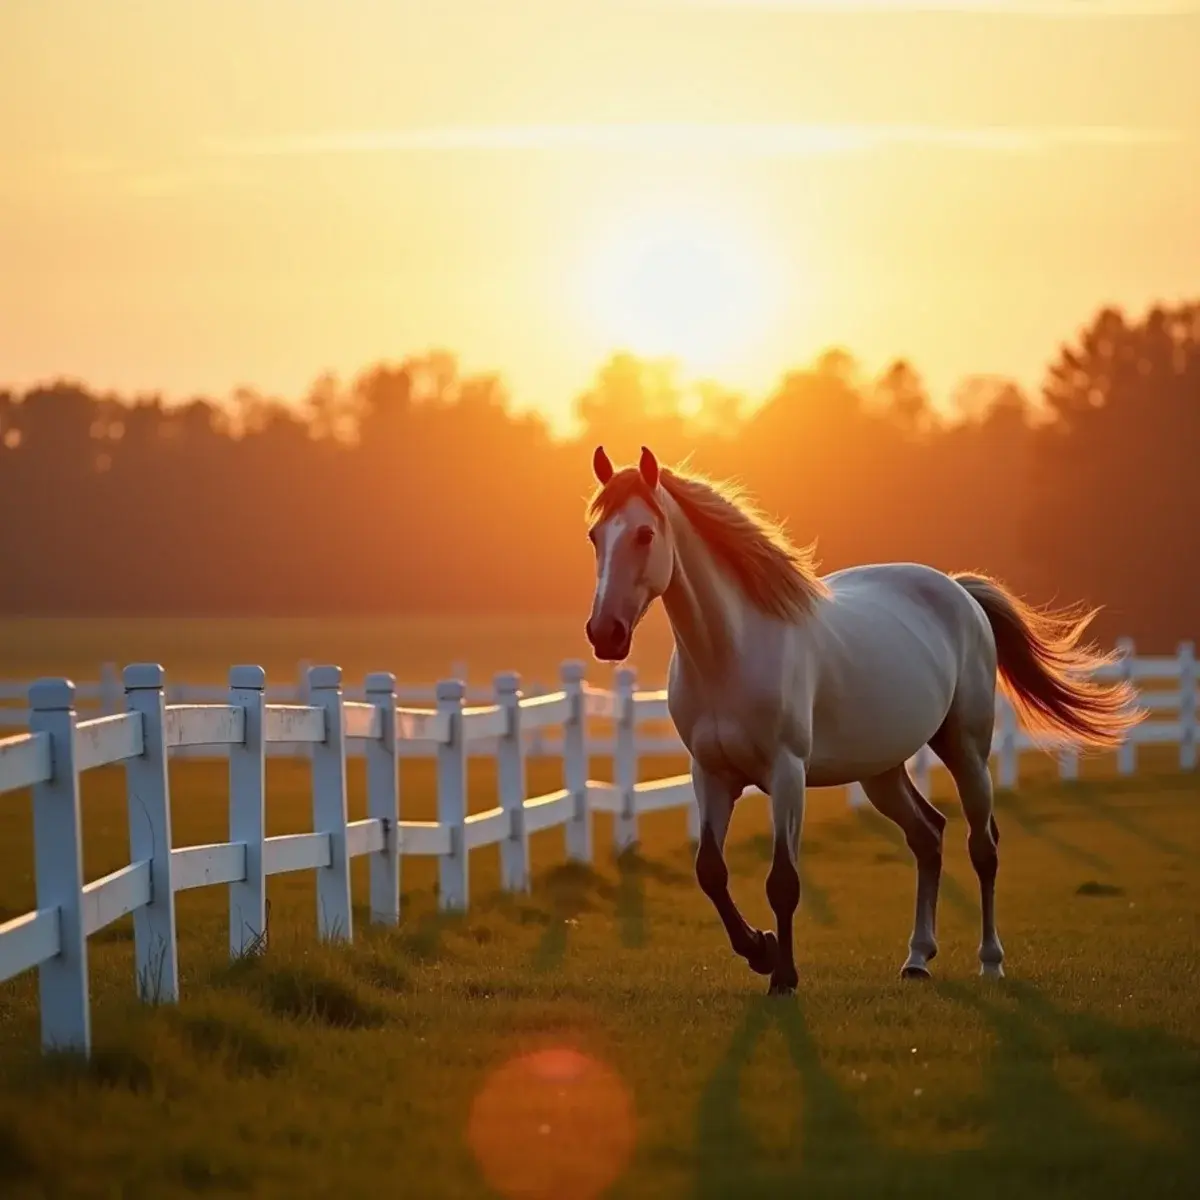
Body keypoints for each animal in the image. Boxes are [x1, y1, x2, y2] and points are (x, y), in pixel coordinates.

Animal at [582, 444, 1141, 995]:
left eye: (644, 533)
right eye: (594, 536)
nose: (605, 633)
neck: (731, 651)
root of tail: (958, 591)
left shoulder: (787, 774)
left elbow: (783, 881)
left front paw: (783, 976)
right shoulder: (711, 775)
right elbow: (710, 873)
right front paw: (761, 950)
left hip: (966, 750)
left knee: (982, 846)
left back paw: (990, 961)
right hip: (881, 772)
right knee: (928, 836)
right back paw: (917, 959)